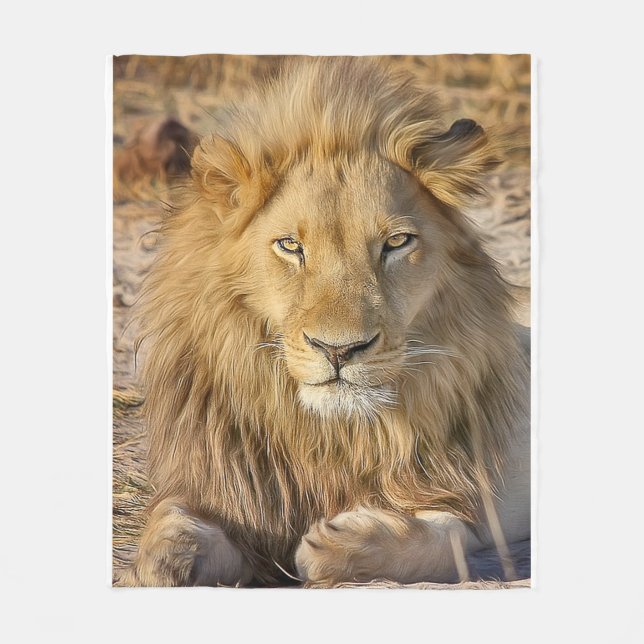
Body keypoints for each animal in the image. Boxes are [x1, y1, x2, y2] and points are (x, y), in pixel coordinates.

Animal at [122, 57, 530, 587]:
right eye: (290, 246)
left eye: (396, 242)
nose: (339, 350)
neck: (328, 433)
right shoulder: (232, 495)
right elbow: (172, 518)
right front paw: (159, 561)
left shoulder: (465, 498)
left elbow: (444, 539)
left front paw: (340, 543)